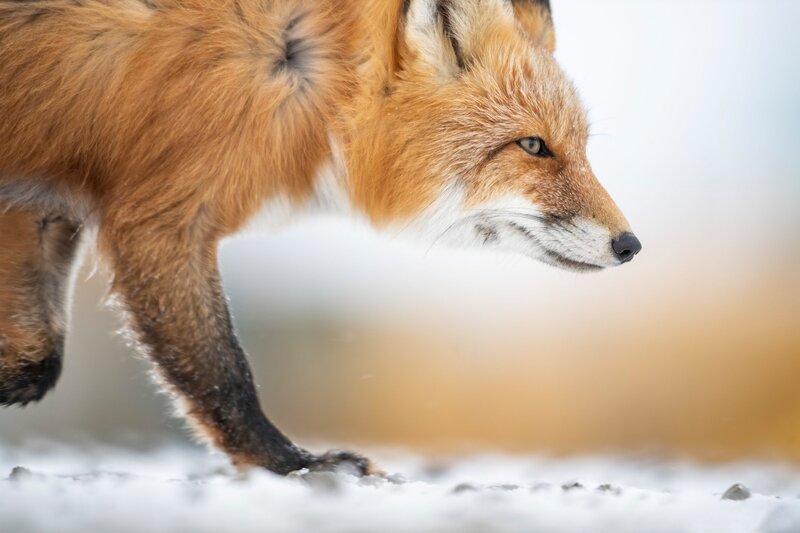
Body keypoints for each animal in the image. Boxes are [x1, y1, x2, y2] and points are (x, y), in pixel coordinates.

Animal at [0, 0, 641, 475]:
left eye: (579, 148)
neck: (318, 79)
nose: (630, 245)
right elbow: (224, 374)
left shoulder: (41, 197)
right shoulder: (159, 218)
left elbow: (38, 359)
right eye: (533, 146)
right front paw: (294, 466)